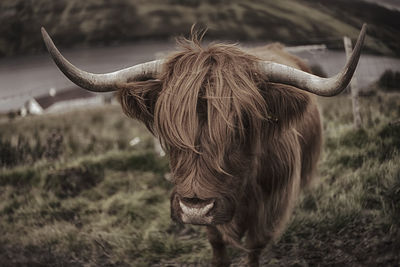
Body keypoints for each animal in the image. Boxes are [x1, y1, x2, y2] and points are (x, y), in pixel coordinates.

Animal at [41, 24, 366, 266]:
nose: (195, 209)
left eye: (242, 126)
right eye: (169, 128)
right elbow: (217, 243)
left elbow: (254, 248)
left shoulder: (271, 205)